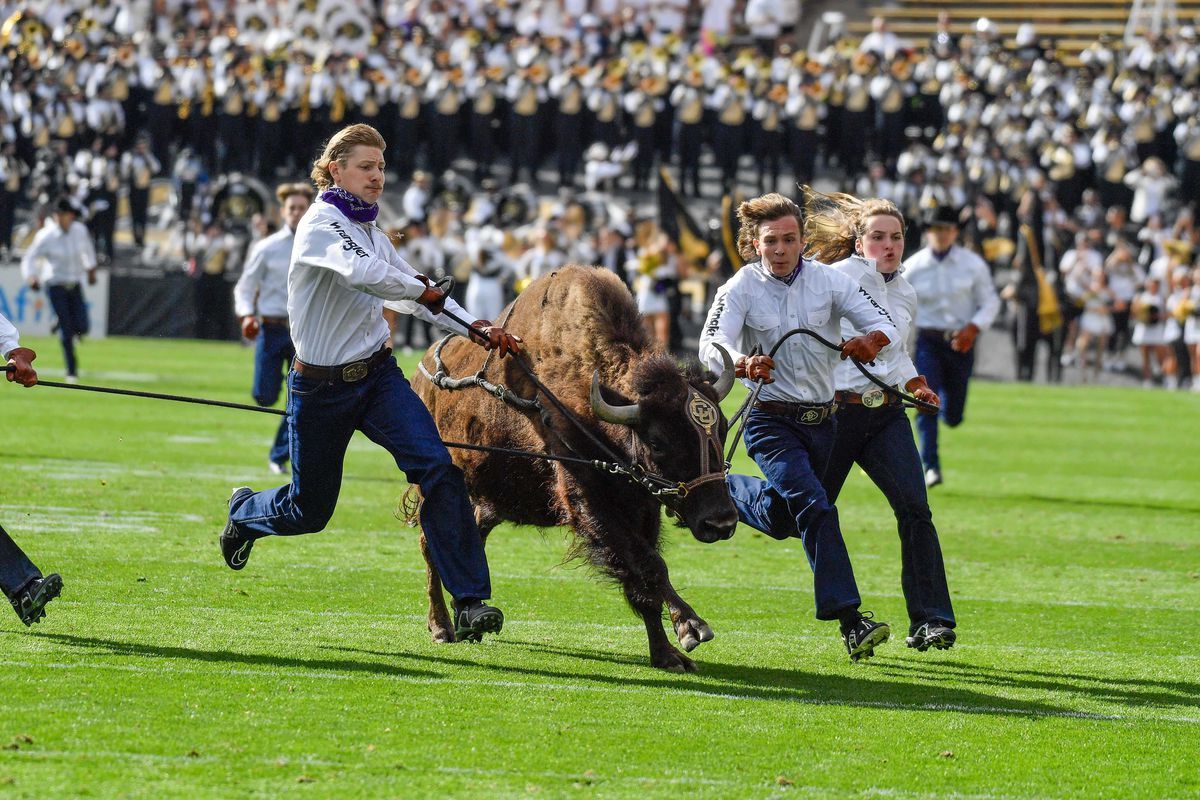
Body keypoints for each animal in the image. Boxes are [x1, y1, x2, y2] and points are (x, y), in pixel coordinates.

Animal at [412, 266, 739, 671]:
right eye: (658, 441)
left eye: (722, 430)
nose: (720, 522)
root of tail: (423, 372)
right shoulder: (588, 502)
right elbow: (649, 566)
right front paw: (693, 628)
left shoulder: (643, 505)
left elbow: (643, 580)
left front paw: (668, 654)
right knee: (430, 545)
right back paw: (442, 627)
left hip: (487, 500)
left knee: (469, 536)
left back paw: (468, 621)